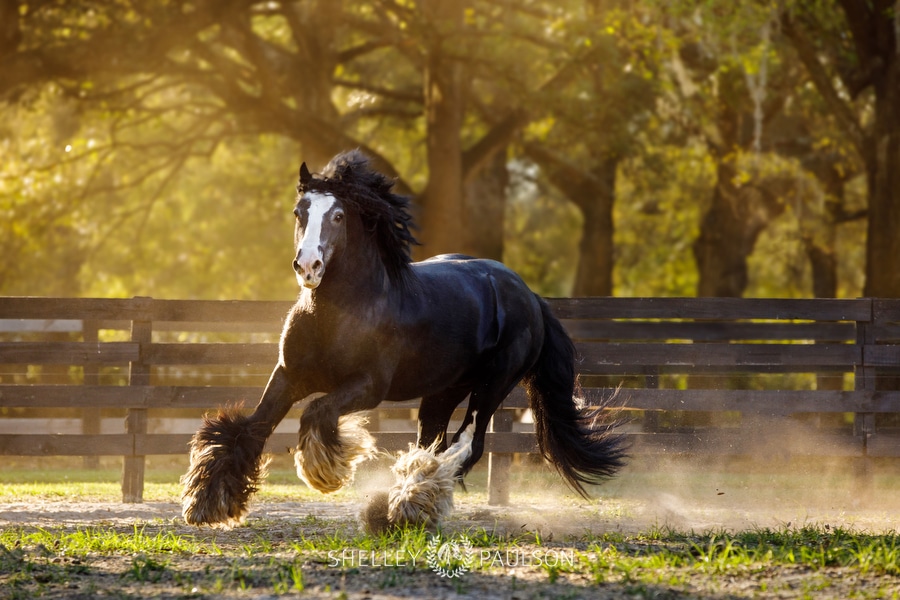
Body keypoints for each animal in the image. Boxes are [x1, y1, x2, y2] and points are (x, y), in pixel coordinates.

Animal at [180, 149, 628, 524]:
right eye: (299, 211)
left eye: (338, 216)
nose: (308, 266)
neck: (337, 312)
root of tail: (529, 295)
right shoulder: (289, 375)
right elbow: (249, 429)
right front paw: (208, 502)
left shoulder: (368, 386)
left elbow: (318, 412)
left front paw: (324, 471)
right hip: (444, 390)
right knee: (432, 443)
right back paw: (396, 506)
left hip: (493, 384)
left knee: (465, 445)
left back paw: (410, 504)